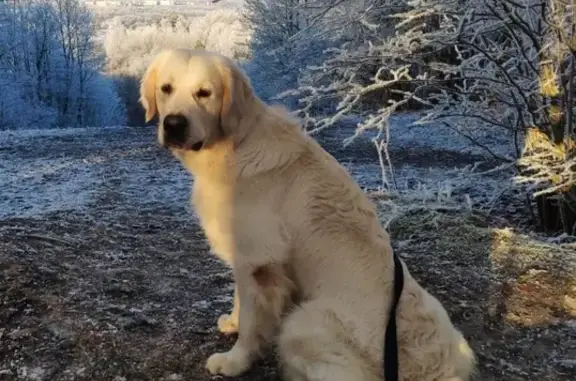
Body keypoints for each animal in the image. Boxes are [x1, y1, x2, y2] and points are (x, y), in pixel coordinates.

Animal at [140, 49, 476, 378]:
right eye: (166, 88)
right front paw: (232, 323)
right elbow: (239, 299)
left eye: (204, 93)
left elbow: (251, 319)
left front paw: (234, 361)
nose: (173, 124)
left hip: (302, 323)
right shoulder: (247, 255)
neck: (235, 144)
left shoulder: (258, 259)